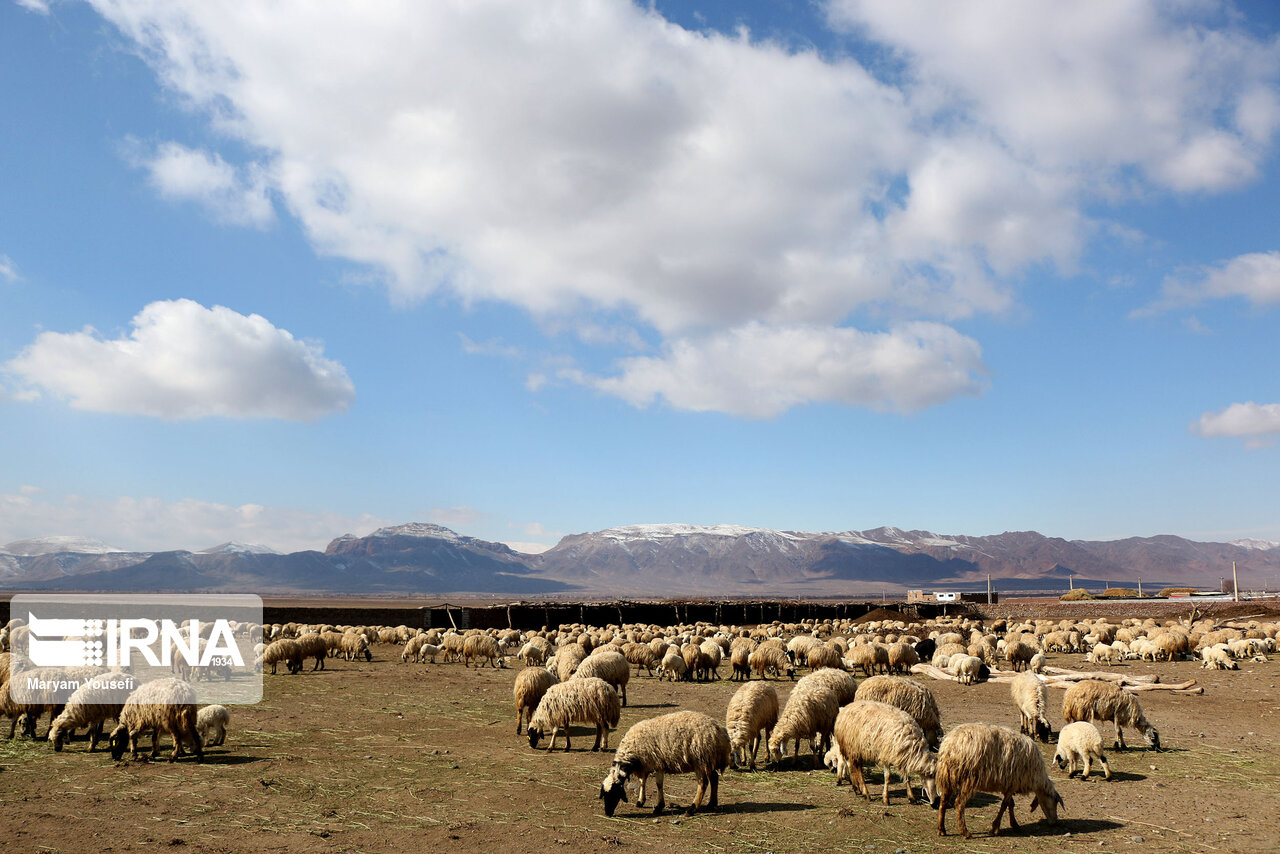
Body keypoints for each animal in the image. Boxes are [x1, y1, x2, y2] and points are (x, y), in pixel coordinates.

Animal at [599, 711, 732, 819]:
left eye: (614, 793)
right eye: (604, 794)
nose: (607, 813)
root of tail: (720, 731)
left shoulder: (657, 763)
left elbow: (658, 784)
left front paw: (659, 806)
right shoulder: (645, 764)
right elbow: (643, 782)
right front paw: (641, 801)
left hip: (700, 759)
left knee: (703, 783)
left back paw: (692, 809)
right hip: (709, 761)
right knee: (714, 778)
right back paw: (711, 804)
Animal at [936, 727, 1064, 839]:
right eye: (1054, 802)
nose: (1055, 822)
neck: (1037, 777)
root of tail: (950, 743)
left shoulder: (1008, 785)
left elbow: (1010, 804)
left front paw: (1015, 825)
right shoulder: (1013, 784)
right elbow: (1004, 805)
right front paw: (995, 828)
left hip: (948, 776)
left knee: (943, 801)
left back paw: (941, 829)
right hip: (968, 778)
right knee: (959, 803)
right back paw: (965, 832)